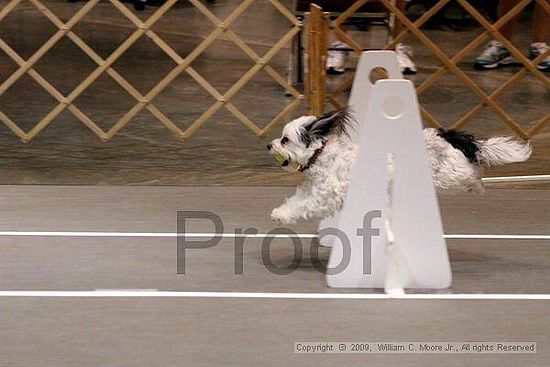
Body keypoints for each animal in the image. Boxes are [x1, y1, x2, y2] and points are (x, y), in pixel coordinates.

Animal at [268, 109, 536, 224]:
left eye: (285, 139)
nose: (268, 145)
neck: (322, 155)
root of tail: (447, 135)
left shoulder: (325, 195)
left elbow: (305, 205)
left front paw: (281, 216)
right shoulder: (311, 189)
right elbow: (296, 201)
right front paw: (280, 212)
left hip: (451, 174)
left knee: (472, 173)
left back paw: (478, 186)